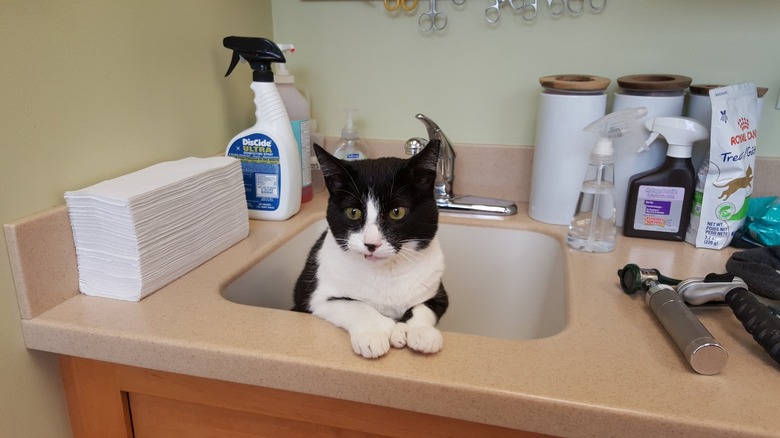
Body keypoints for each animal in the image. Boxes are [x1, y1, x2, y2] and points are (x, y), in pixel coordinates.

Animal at [294, 142, 450, 358]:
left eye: (397, 212)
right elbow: (354, 304)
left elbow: (424, 306)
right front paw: (375, 333)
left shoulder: (437, 291)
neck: (385, 272)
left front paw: (419, 331)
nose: (371, 243)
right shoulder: (312, 297)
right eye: (353, 212)